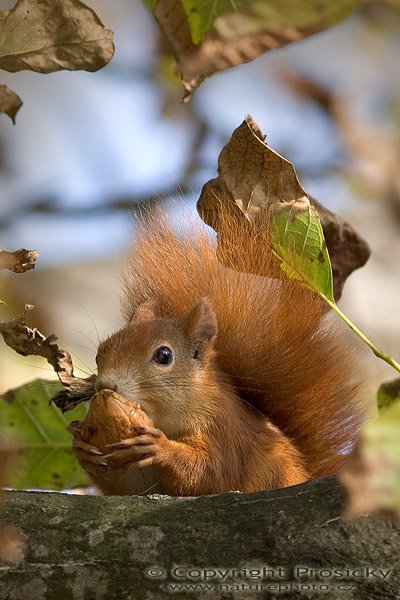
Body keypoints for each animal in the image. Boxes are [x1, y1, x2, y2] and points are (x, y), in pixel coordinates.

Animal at [69, 211, 372, 496]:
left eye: (164, 356)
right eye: (100, 352)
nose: (105, 385)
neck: (166, 420)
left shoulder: (222, 429)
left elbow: (212, 473)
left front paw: (160, 447)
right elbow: (125, 485)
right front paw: (81, 446)